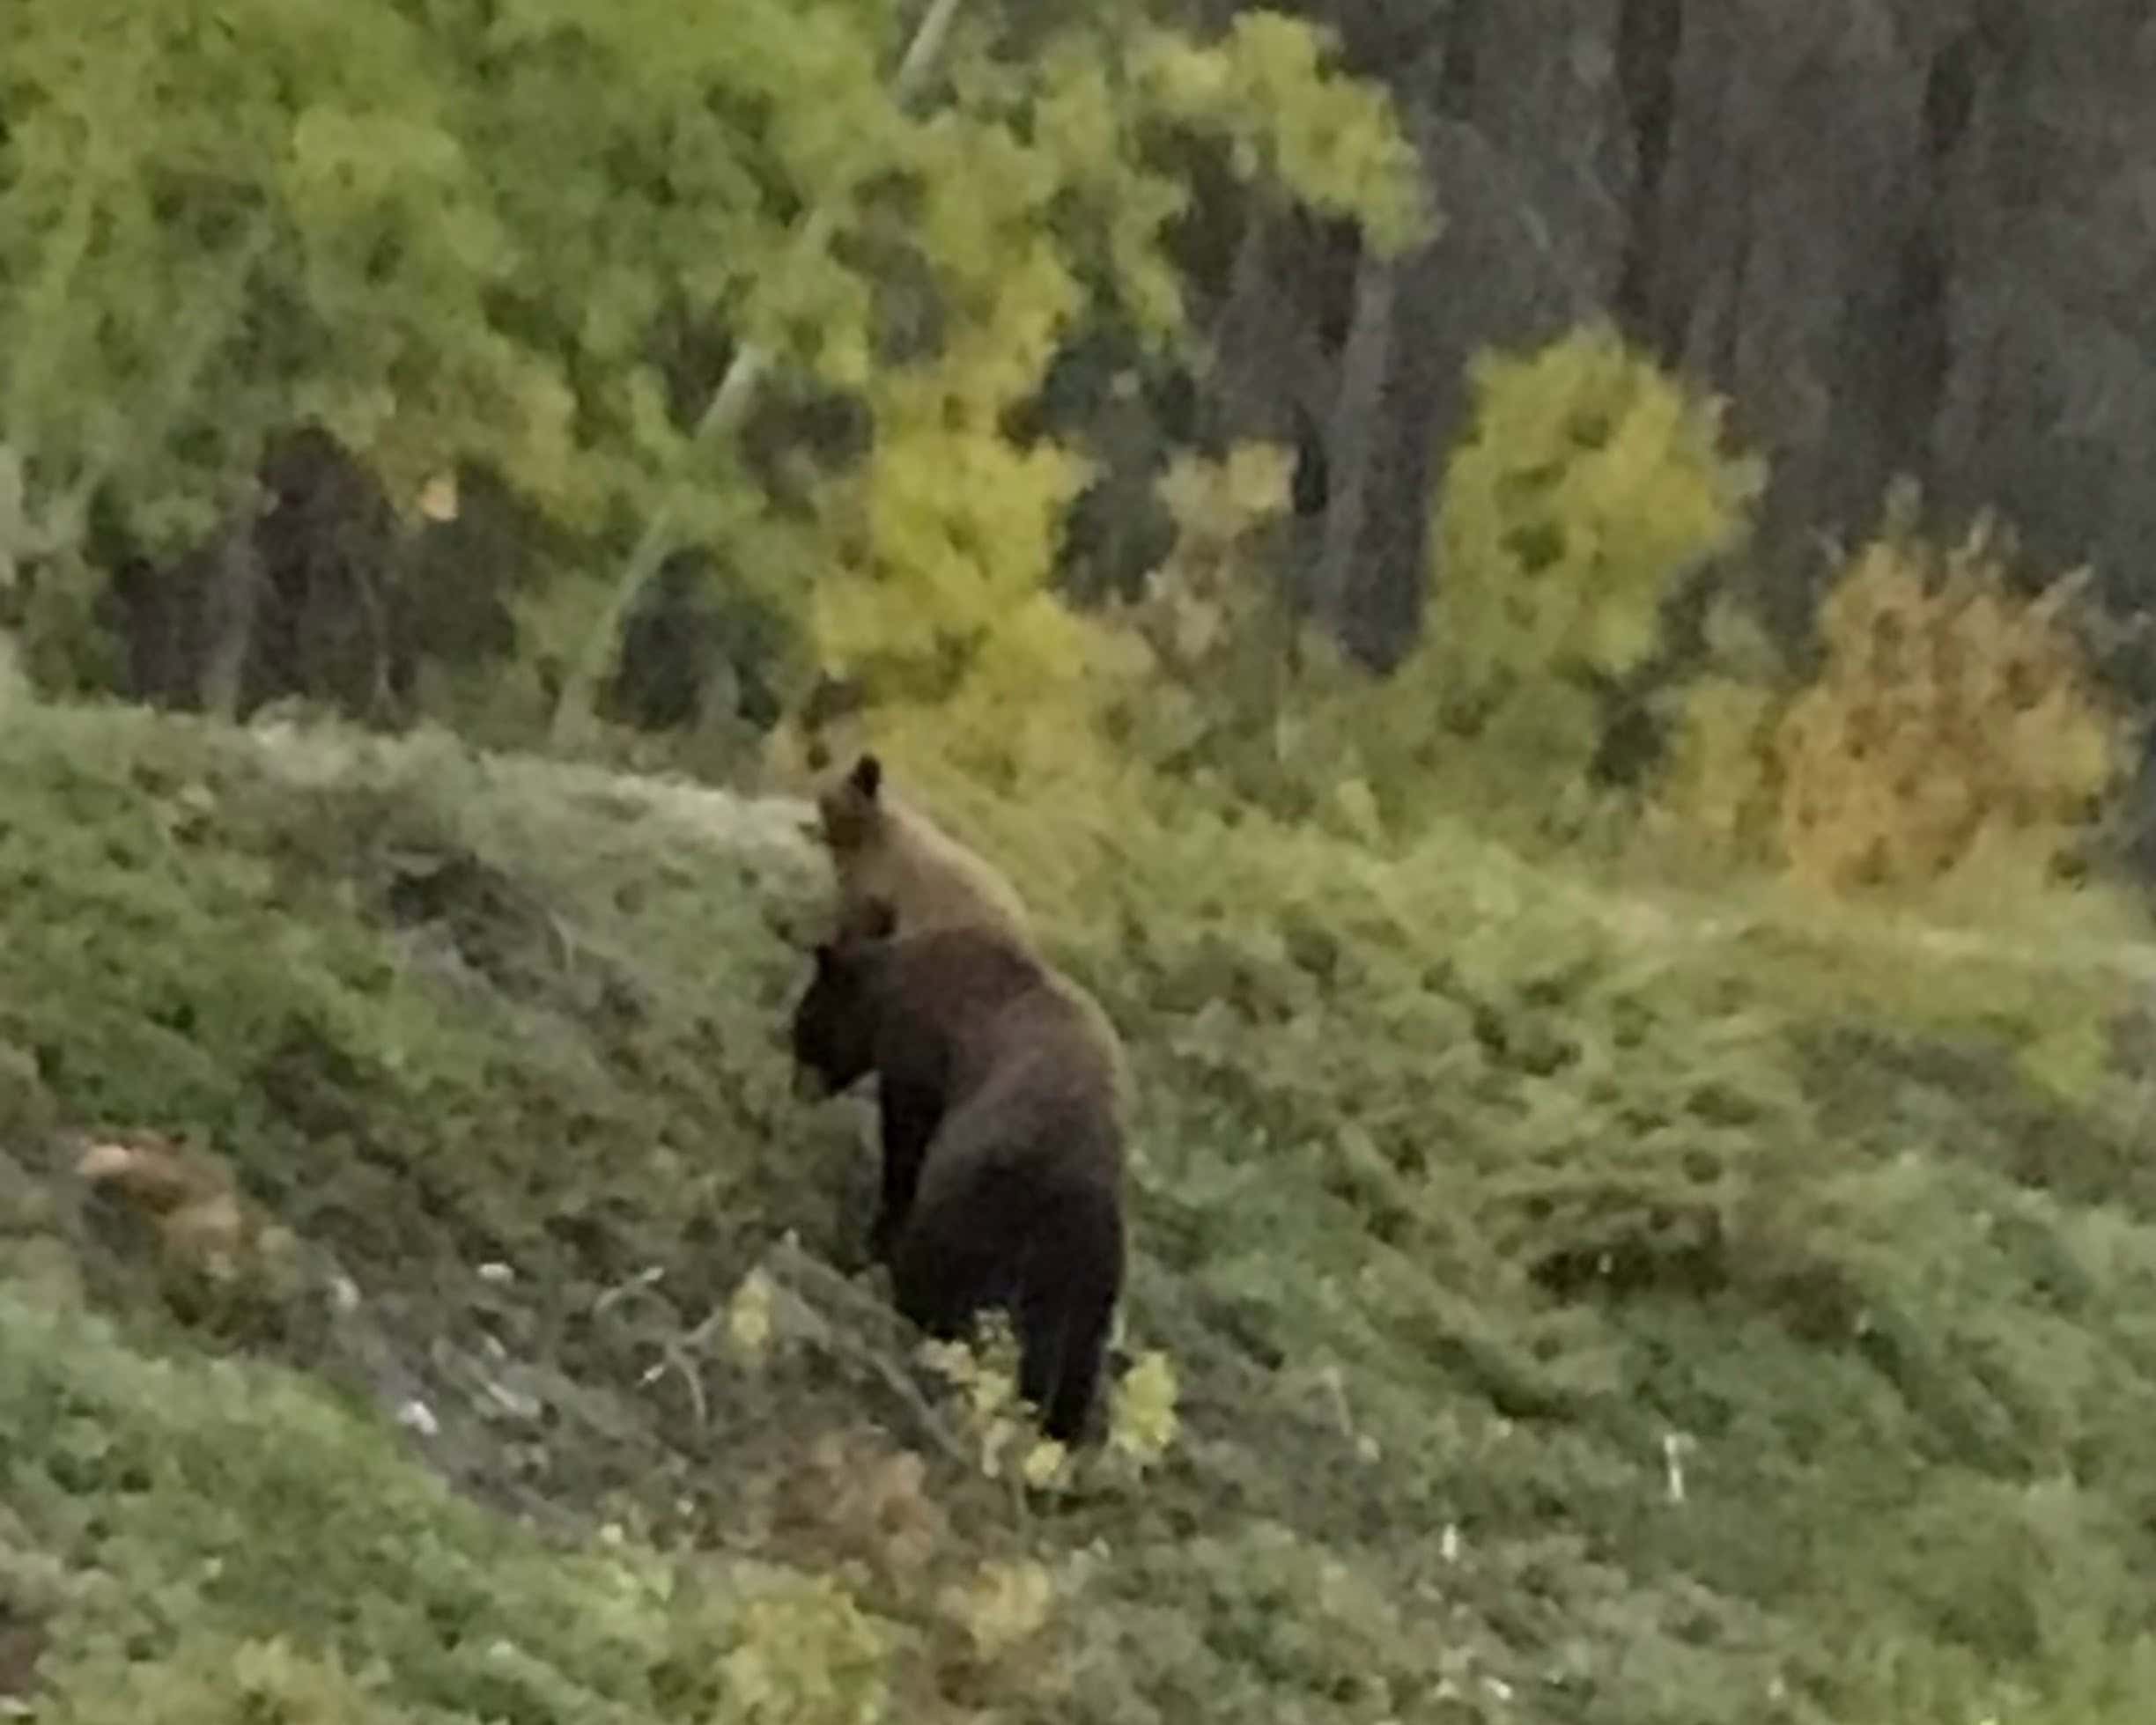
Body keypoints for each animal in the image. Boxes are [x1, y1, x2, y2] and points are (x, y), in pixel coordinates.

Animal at [789, 908, 1128, 1446]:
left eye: (804, 1025)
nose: (797, 1085)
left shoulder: (919, 1062)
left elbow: (905, 1149)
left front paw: (874, 1242)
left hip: (976, 1212)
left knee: (935, 1284)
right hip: (1089, 1279)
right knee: (1072, 1364)